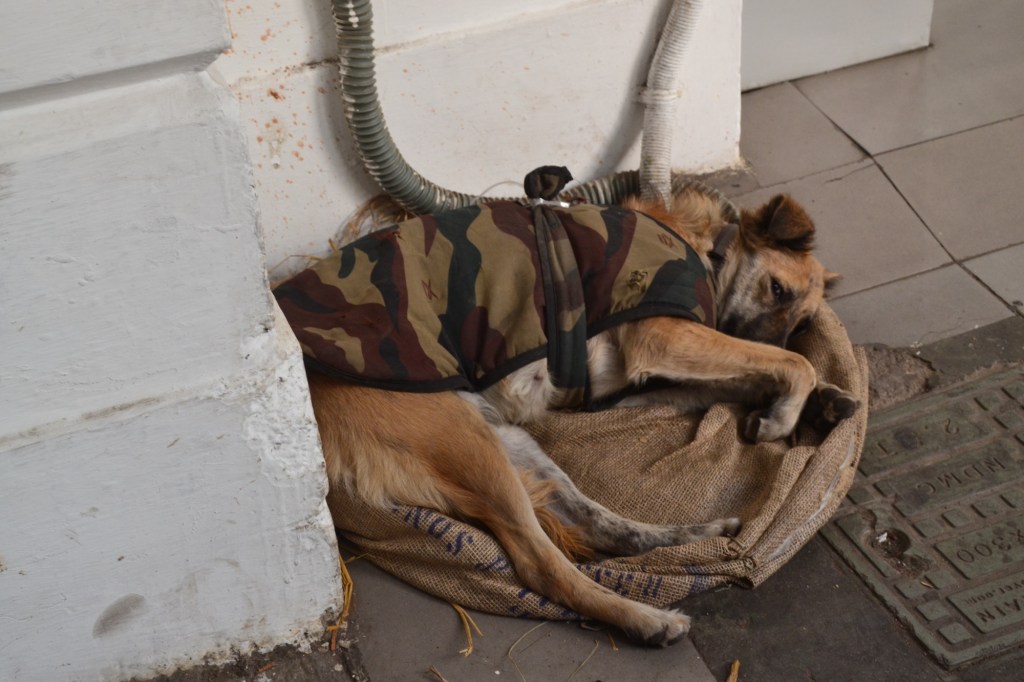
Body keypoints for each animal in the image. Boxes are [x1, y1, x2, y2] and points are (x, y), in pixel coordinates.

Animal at [277, 178, 859, 646]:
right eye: (776, 289)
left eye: (803, 320)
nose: (775, 335)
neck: (704, 249)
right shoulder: (664, 338)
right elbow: (793, 364)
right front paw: (788, 410)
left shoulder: (632, 384)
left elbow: (759, 372)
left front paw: (817, 402)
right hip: (469, 444)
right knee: (543, 567)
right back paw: (645, 619)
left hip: (509, 441)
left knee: (602, 529)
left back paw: (692, 538)